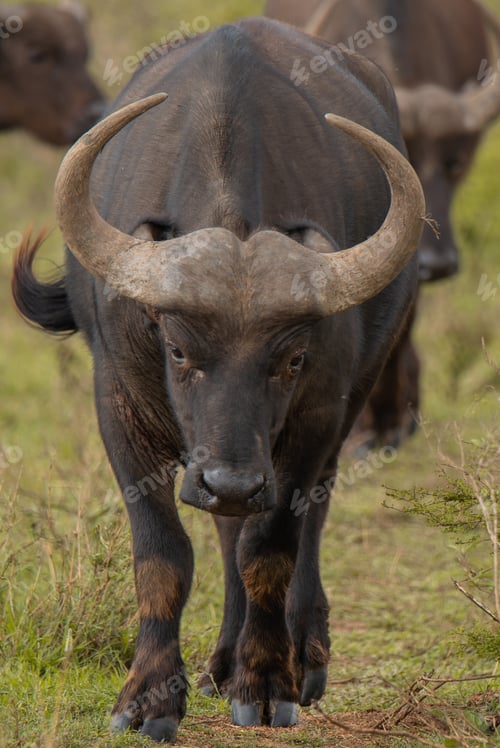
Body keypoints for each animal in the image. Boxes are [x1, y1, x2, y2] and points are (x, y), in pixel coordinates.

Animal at [12, 18, 424, 742]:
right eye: (178, 350)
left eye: (291, 360)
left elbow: (271, 548)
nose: (229, 481)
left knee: (298, 517)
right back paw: (220, 661)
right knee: (227, 527)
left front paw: (265, 683)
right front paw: (149, 698)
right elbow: (163, 555)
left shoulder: (317, 415)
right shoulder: (119, 405)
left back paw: (299, 655)